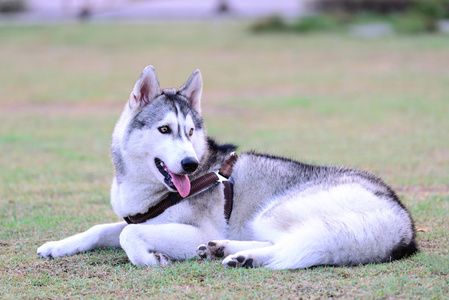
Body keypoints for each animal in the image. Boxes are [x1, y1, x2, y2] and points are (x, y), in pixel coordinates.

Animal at [36, 65, 418, 270]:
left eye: (190, 132)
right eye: (165, 129)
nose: (189, 164)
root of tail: (402, 220)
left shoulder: (193, 231)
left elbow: (127, 234)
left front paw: (147, 258)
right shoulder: (143, 219)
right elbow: (102, 228)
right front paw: (58, 245)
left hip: (274, 213)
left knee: (293, 243)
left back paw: (242, 255)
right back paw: (227, 251)